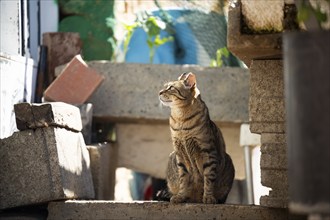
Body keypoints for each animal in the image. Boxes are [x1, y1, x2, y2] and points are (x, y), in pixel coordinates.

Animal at [159, 72, 235, 205]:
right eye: (165, 87)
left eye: (171, 88)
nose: (159, 92)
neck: (180, 118)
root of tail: (195, 200)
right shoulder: (179, 153)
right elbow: (183, 179)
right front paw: (180, 196)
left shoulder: (208, 151)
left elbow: (208, 177)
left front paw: (208, 197)